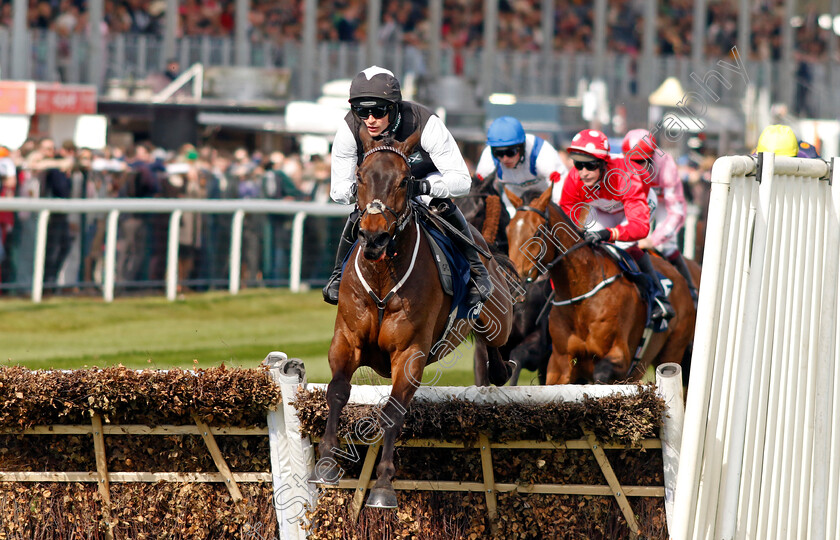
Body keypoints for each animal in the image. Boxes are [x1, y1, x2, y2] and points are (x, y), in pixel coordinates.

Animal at [312, 129, 516, 508]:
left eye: (405, 180)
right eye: (360, 177)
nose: (374, 236)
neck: (382, 276)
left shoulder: (411, 353)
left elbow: (393, 410)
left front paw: (382, 486)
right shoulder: (346, 340)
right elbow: (337, 391)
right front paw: (327, 463)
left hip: (499, 314)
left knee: (493, 338)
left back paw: (498, 364)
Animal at [508, 187, 700, 384]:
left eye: (537, 233)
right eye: (508, 231)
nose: (515, 282)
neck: (582, 296)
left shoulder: (620, 358)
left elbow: (601, 374)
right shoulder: (559, 363)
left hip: (672, 350)